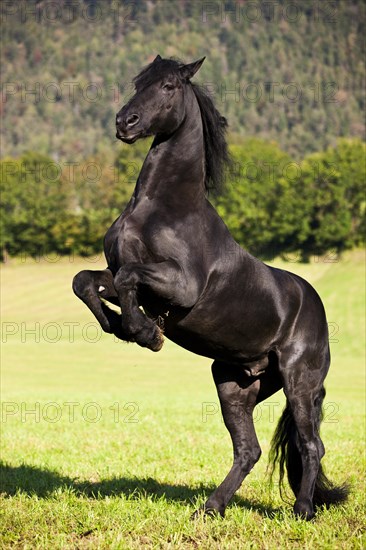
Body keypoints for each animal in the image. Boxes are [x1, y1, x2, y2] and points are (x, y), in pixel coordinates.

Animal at [72, 56, 348, 520]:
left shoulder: (179, 286)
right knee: (249, 450)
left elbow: (128, 281)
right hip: (235, 385)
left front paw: (145, 333)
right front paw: (121, 326)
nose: (124, 122)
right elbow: (85, 282)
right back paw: (211, 508)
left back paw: (303, 510)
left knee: (312, 445)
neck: (161, 208)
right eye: (138, 83)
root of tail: (314, 306)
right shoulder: (121, 271)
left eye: (167, 86)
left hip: (300, 382)